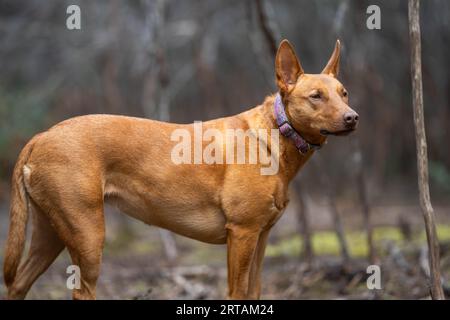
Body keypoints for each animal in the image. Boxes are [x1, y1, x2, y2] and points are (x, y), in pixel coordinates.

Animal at [2, 38, 356, 298]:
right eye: (316, 96)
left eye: (344, 93)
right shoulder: (242, 234)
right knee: (80, 292)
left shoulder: (261, 237)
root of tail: (40, 136)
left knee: (18, 284)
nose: (353, 117)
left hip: (51, 233)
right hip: (88, 238)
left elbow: (253, 291)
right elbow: (237, 293)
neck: (275, 134)